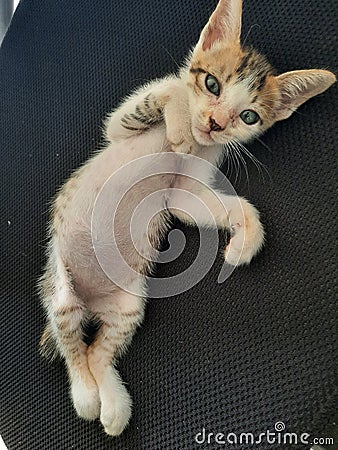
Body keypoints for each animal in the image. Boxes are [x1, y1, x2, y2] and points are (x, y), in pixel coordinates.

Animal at [37, 0, 336, 438]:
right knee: (71, 343)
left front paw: (244, 241)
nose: (214, 123)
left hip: (128, 306)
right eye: (212, 84)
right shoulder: (119, 126)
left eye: (248, 116)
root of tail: (89, 302)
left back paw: (113, 406)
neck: (195, 142)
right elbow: (168, 91)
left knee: (96, 353)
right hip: (61, 288)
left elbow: (214, 206)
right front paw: (178, 116)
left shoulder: (182, 190)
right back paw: (85, 395)